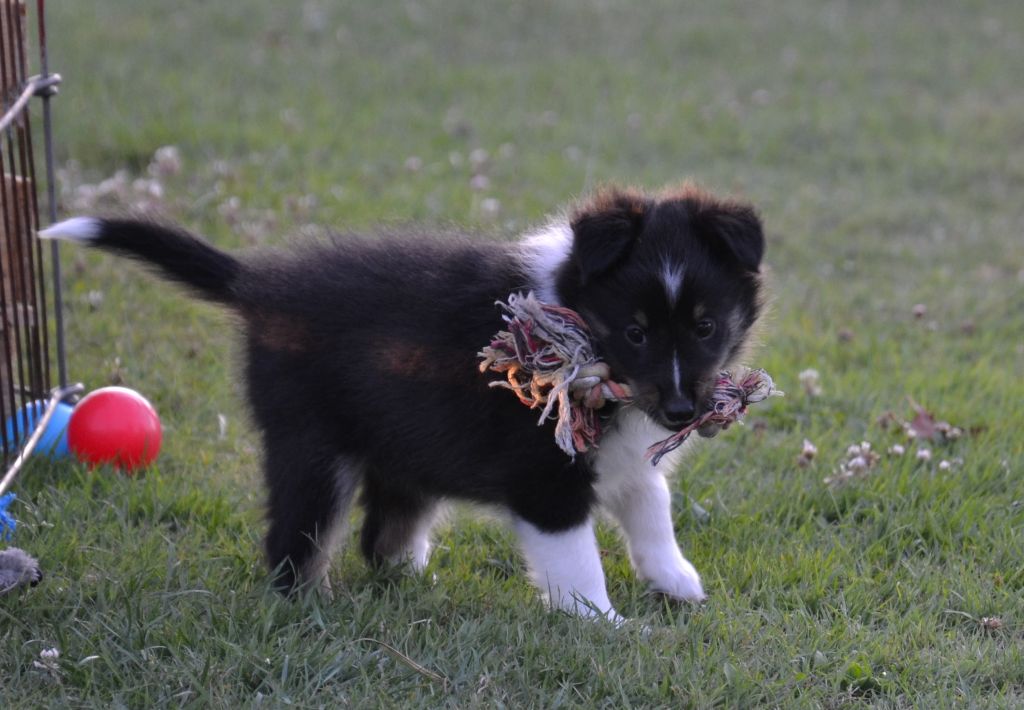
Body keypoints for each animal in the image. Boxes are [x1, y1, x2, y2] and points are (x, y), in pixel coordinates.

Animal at [39, 185, 765, 622]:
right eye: (636, 332)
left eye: (705, 326)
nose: (681, 413)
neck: (574, 319)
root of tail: (259, 284)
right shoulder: (542, 477)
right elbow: (576, 557)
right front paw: (604, 624)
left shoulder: (625, 457)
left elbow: (652, 509)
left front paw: (676, 582)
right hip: (311, 444)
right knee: (295, 538)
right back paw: (303, 604)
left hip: (405, 445)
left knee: (381, 532)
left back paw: (407, 575)